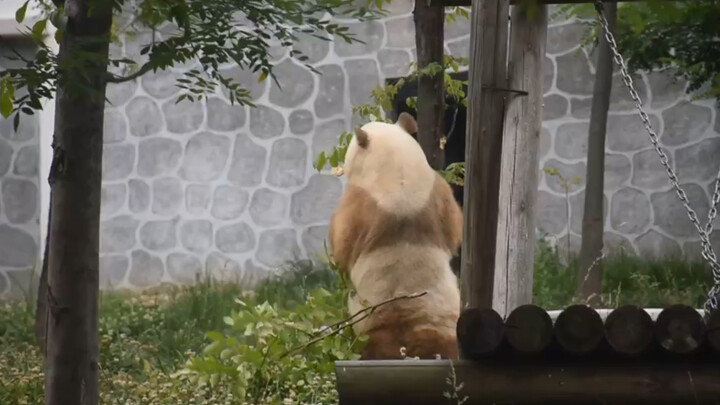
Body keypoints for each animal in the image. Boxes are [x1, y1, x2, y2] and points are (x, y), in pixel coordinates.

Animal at [330, 112, 464, 358]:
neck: (398, 172)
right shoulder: (436, 190)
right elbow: (453, 227)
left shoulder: (359, 201)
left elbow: (343, 242)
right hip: (445, 325)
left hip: (370, 326)